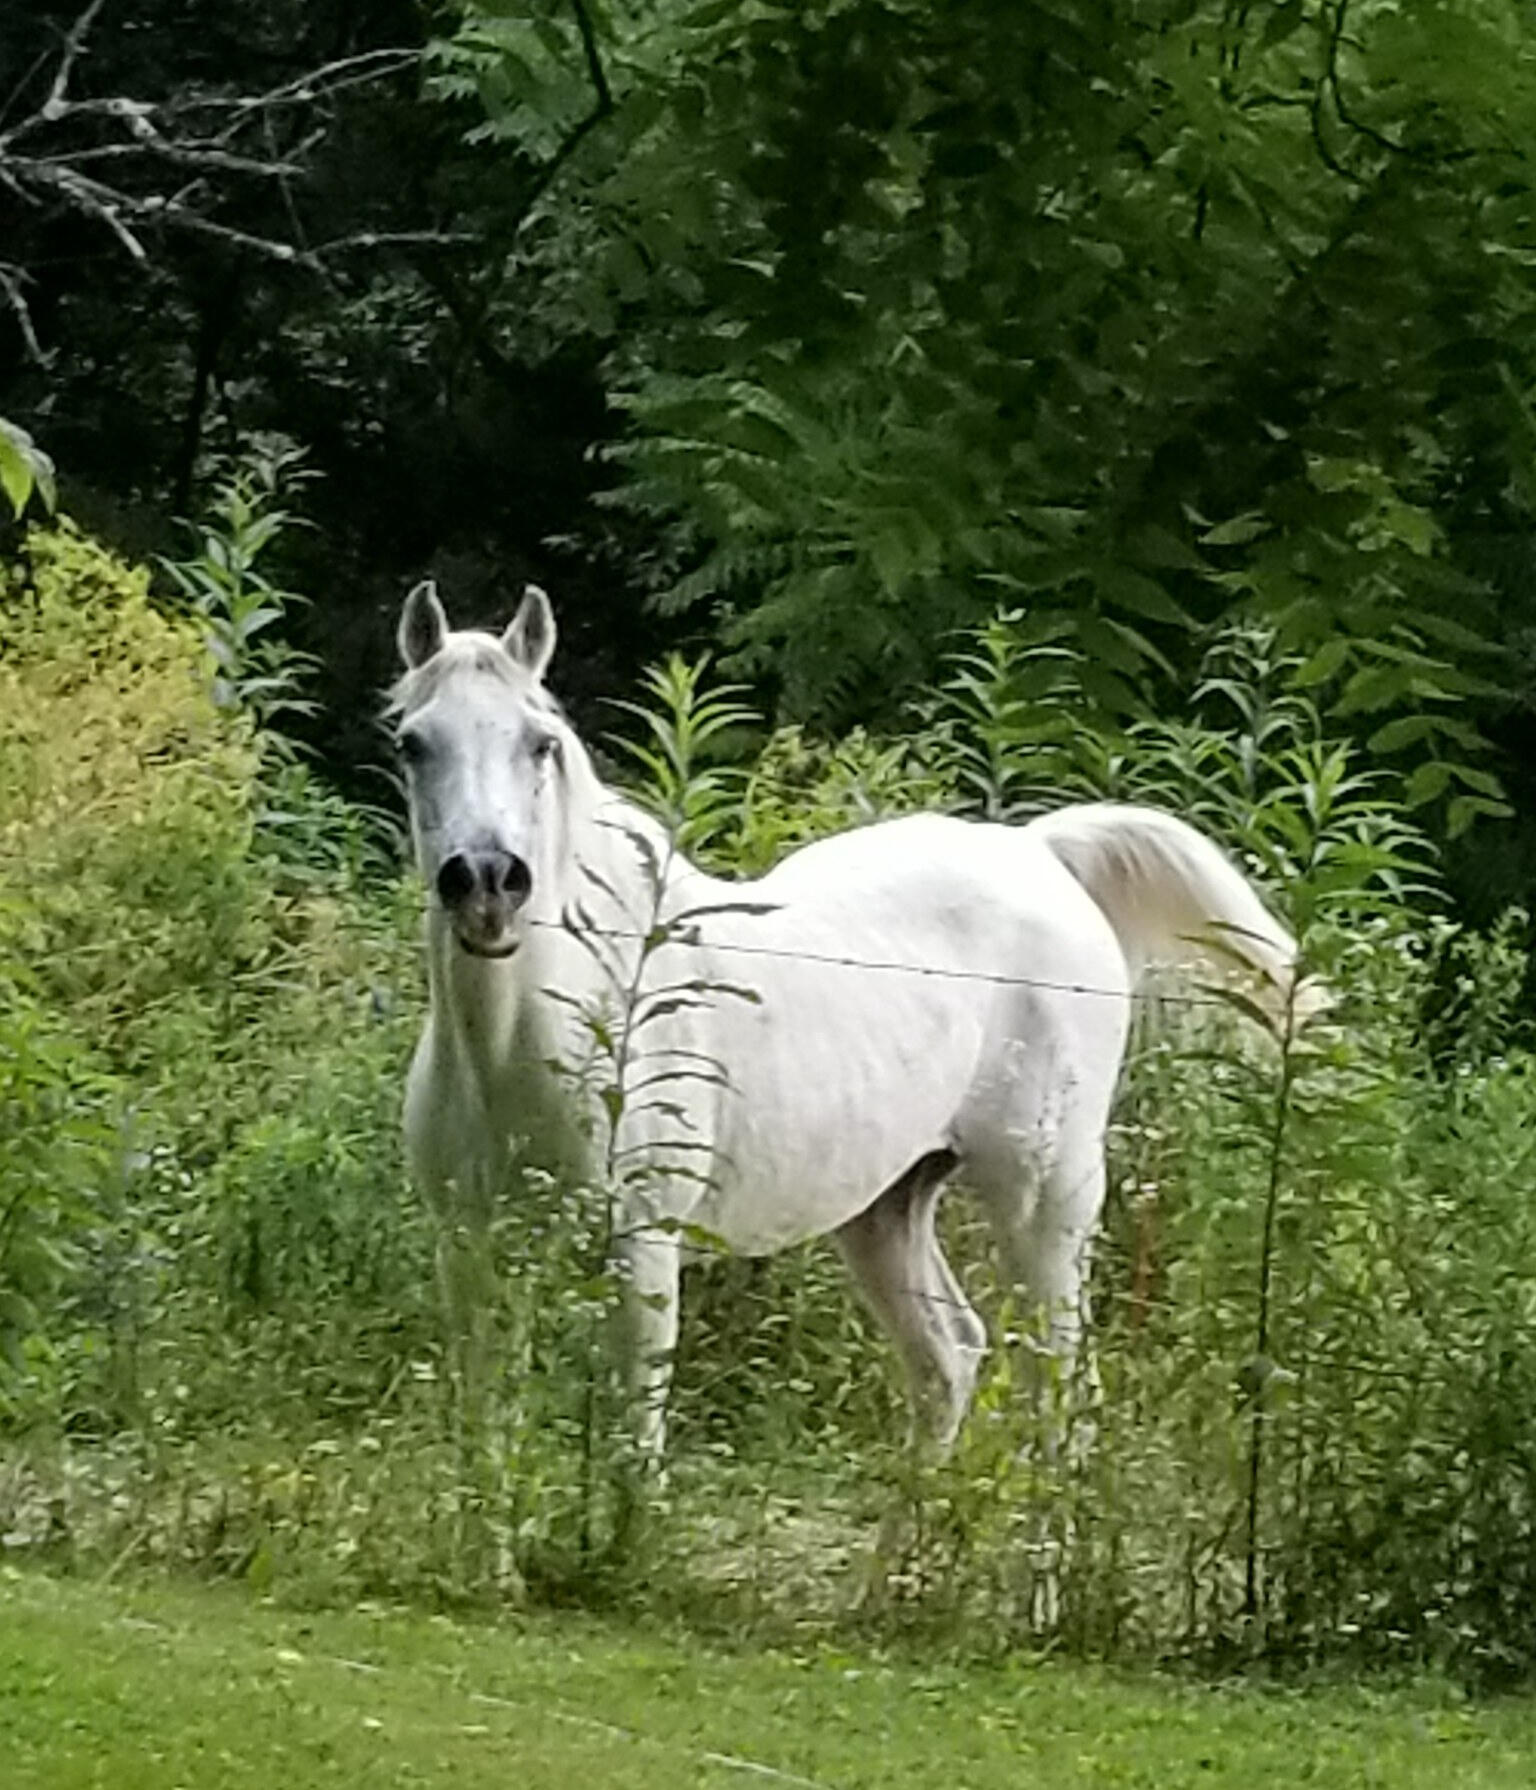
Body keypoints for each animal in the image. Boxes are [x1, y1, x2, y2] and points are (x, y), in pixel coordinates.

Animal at [392, 579, 1308, 1467]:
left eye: (539, 743)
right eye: (412, 743)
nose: (487, 883)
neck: (540, 1042)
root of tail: (1039, 853)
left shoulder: (640, 1252)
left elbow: (631, 1451)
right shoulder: (470, 1255)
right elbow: (484, 1445)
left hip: (1045, 1199)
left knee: (1059, 1393)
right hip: (888, 1207)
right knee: (951, 1358)